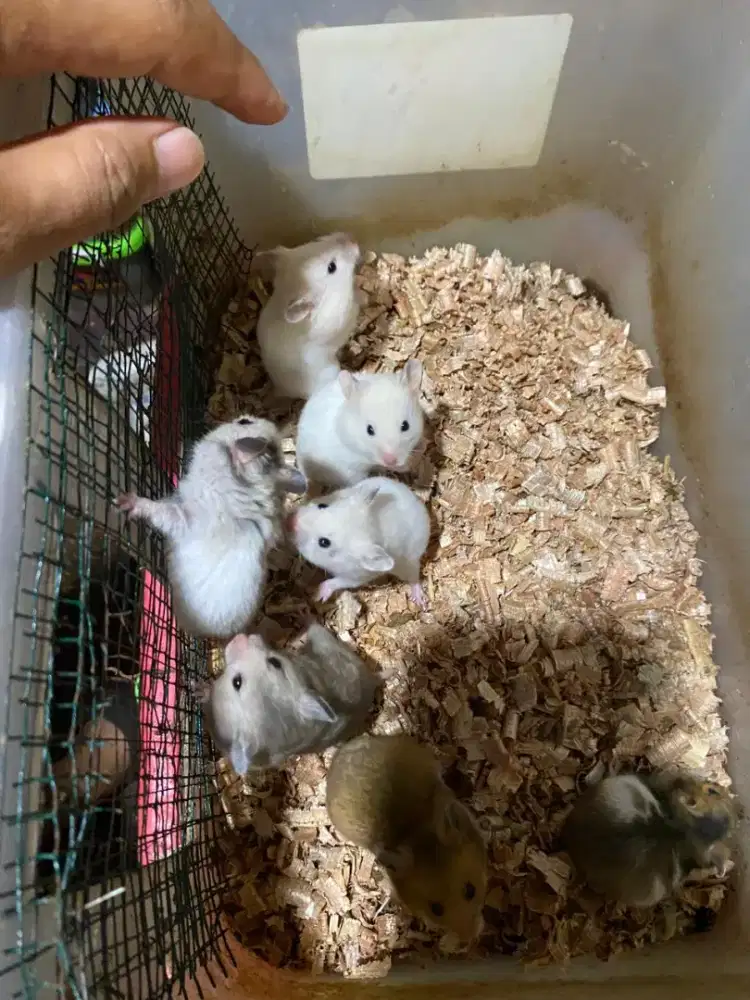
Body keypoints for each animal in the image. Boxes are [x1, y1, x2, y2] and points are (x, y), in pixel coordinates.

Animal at [289, 476, 431, 607]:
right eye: (322, 505)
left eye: (324, 542)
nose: (290, 520)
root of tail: (420, 505)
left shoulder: (357, 577)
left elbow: (335, 582)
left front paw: (317, 596)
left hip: (410, 561)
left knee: (414, 578)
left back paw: (421, 602)